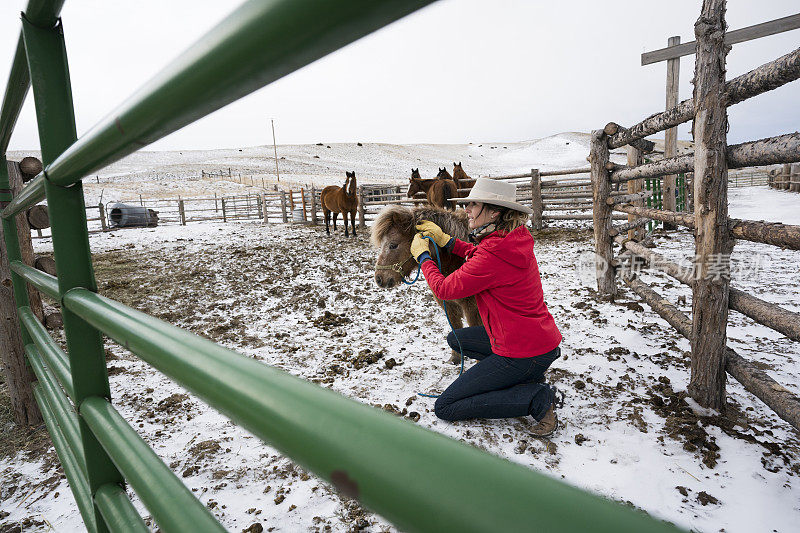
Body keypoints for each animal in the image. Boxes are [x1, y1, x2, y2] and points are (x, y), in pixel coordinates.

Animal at [370, 203, 478, 362]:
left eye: (393, 245)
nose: (379, 279)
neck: (455, 260)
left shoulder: (473, 308)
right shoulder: (448, 305)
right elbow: (456, 329)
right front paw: (456, 359)